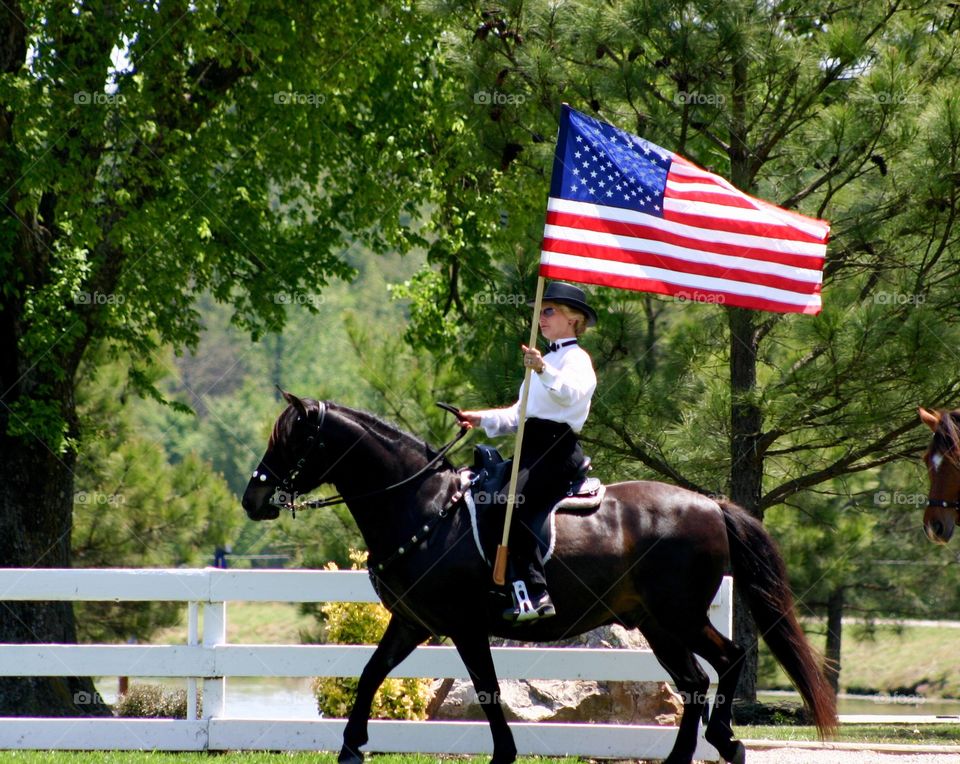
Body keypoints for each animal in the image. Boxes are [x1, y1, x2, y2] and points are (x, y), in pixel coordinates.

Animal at [244, 394, 836, 764]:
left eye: (291, 441)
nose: (253, 499)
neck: (425, 507)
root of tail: (711, 504)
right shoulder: (413, 622)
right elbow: (370, 673)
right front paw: (350, 747)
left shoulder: (463, 626)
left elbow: (486, 689)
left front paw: (504, 754)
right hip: (656, 624)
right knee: (692, 681)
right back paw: (678, 759)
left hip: (680, 615)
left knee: (728, 660)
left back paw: (727, 741)